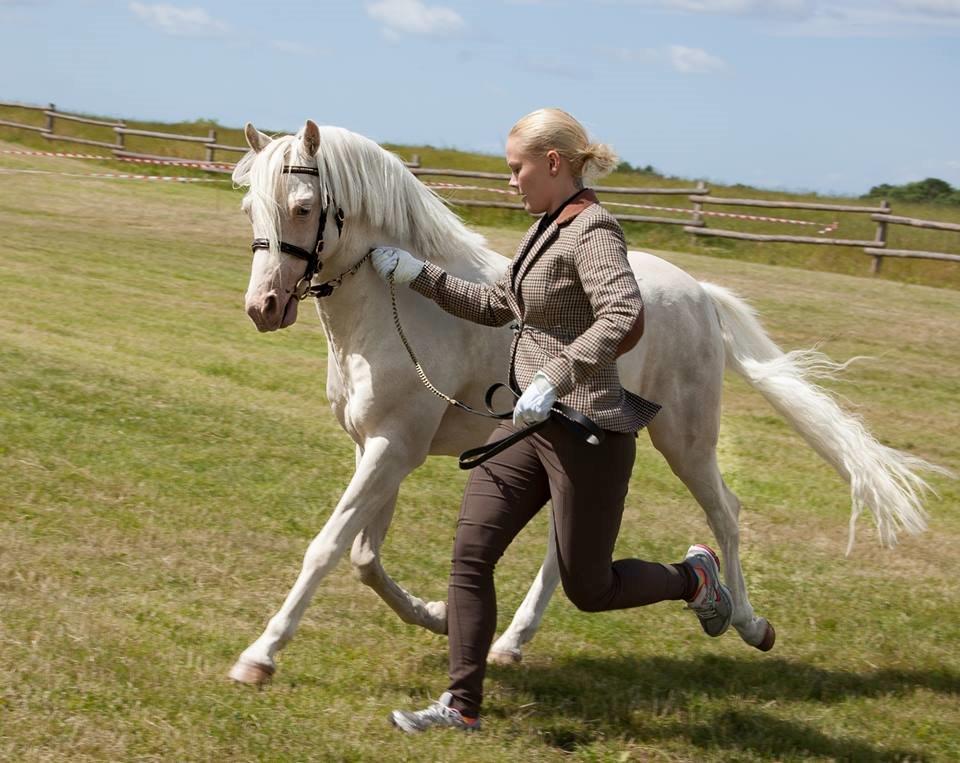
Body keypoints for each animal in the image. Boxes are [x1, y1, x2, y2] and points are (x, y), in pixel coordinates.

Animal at [227, 119, 939, 685]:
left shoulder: (391, 449)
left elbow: (328, 547)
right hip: (573, 449)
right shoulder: (378, 450)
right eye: (250, 209)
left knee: (725, 514)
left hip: (685, 441)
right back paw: (512, 641)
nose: (264, 308)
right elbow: (364, 557)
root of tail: (700, 294)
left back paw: (745, 619)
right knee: (564, 552)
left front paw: (260, 657)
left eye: (301, 206)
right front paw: (439, 615)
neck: (399, 309)